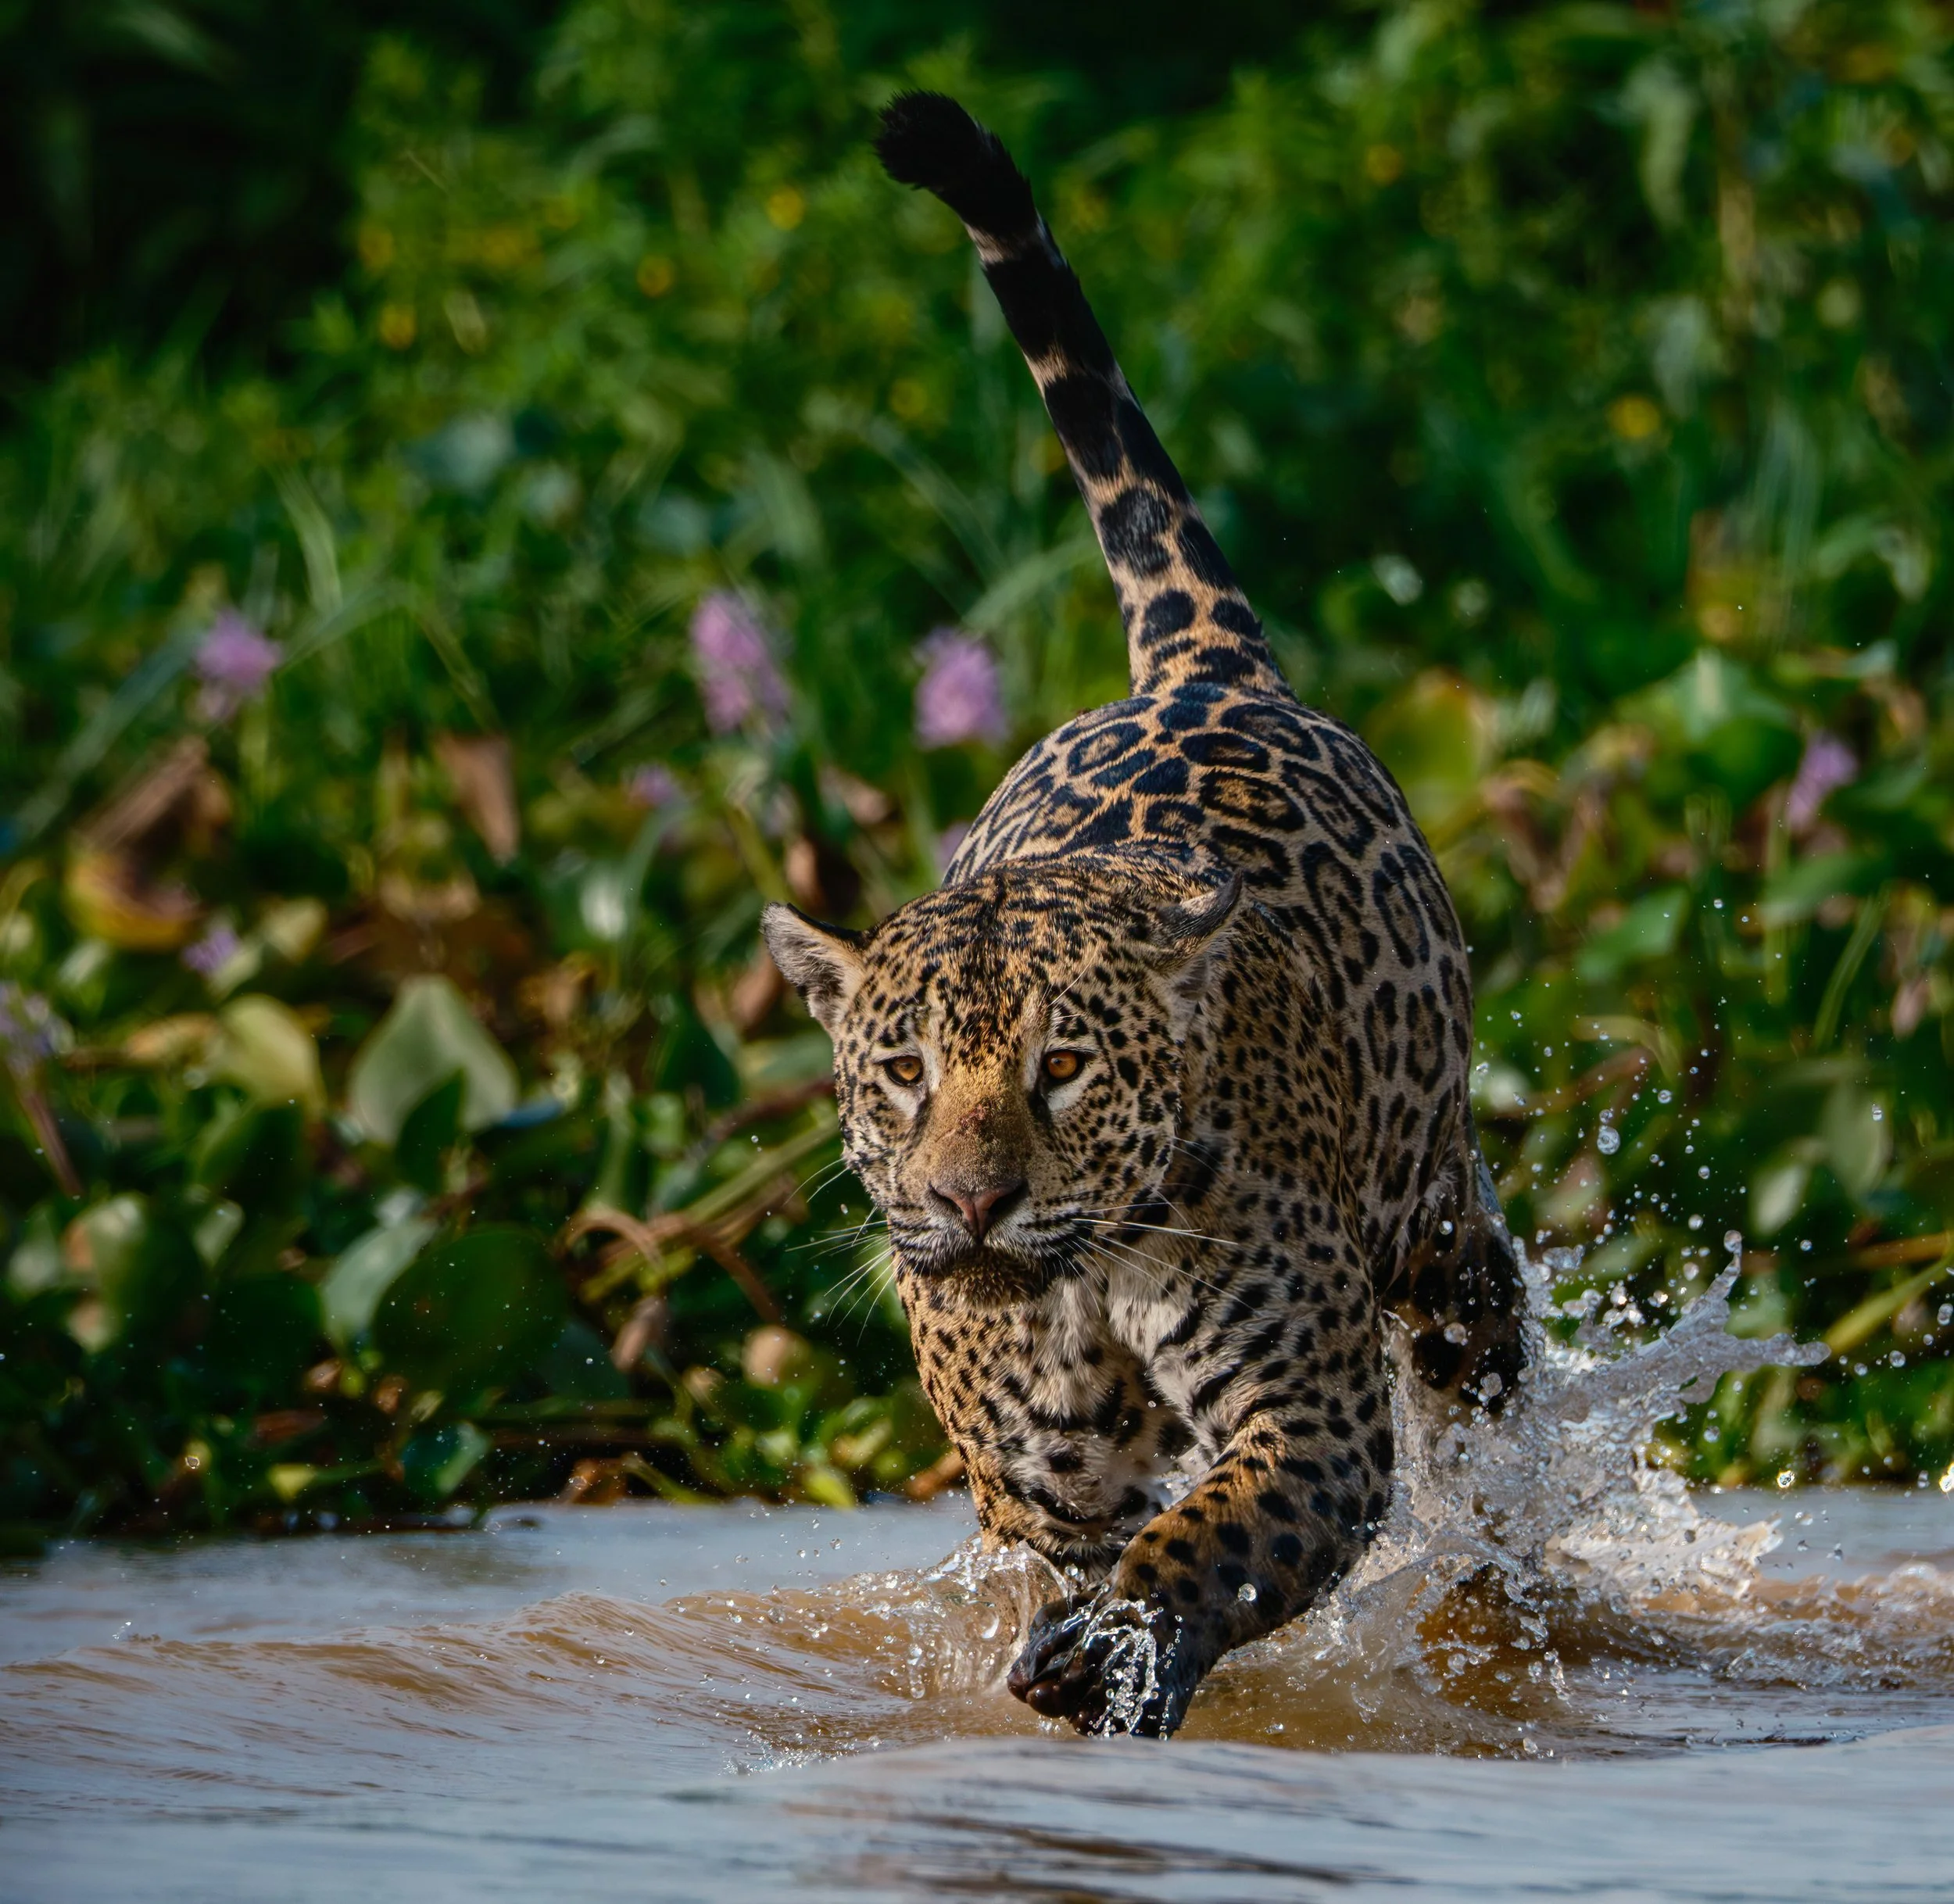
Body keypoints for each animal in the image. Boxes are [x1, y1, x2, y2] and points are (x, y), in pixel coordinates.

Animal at [762, 92, 1527, 1738]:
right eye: (904, 1072)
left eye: (1062, 1068)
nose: (971, 1205)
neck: (1082, 1282)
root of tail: (1201, 666)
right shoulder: (1045, 1482)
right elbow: (1091, 1551)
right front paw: (1077, 1662)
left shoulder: (1313, 1417)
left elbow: (1209, 1545)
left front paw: (1119, 1649)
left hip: (1445, 1232)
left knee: (1488, 1395)